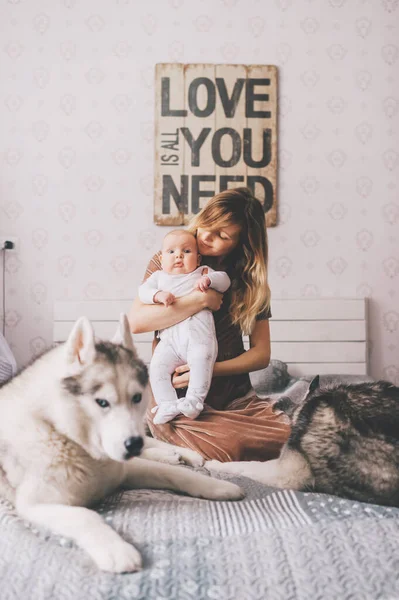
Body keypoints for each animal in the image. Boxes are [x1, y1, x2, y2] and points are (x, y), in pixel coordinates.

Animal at [0, 314, 244, 572]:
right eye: (102, 402)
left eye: (136, 397)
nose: (133, 444)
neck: (69, 439)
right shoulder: (34, 505)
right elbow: (86, 516)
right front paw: (115, 548)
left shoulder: (125, 470)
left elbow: (175, 474)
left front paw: (217, 486)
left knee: (156, 447)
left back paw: (184, 454)